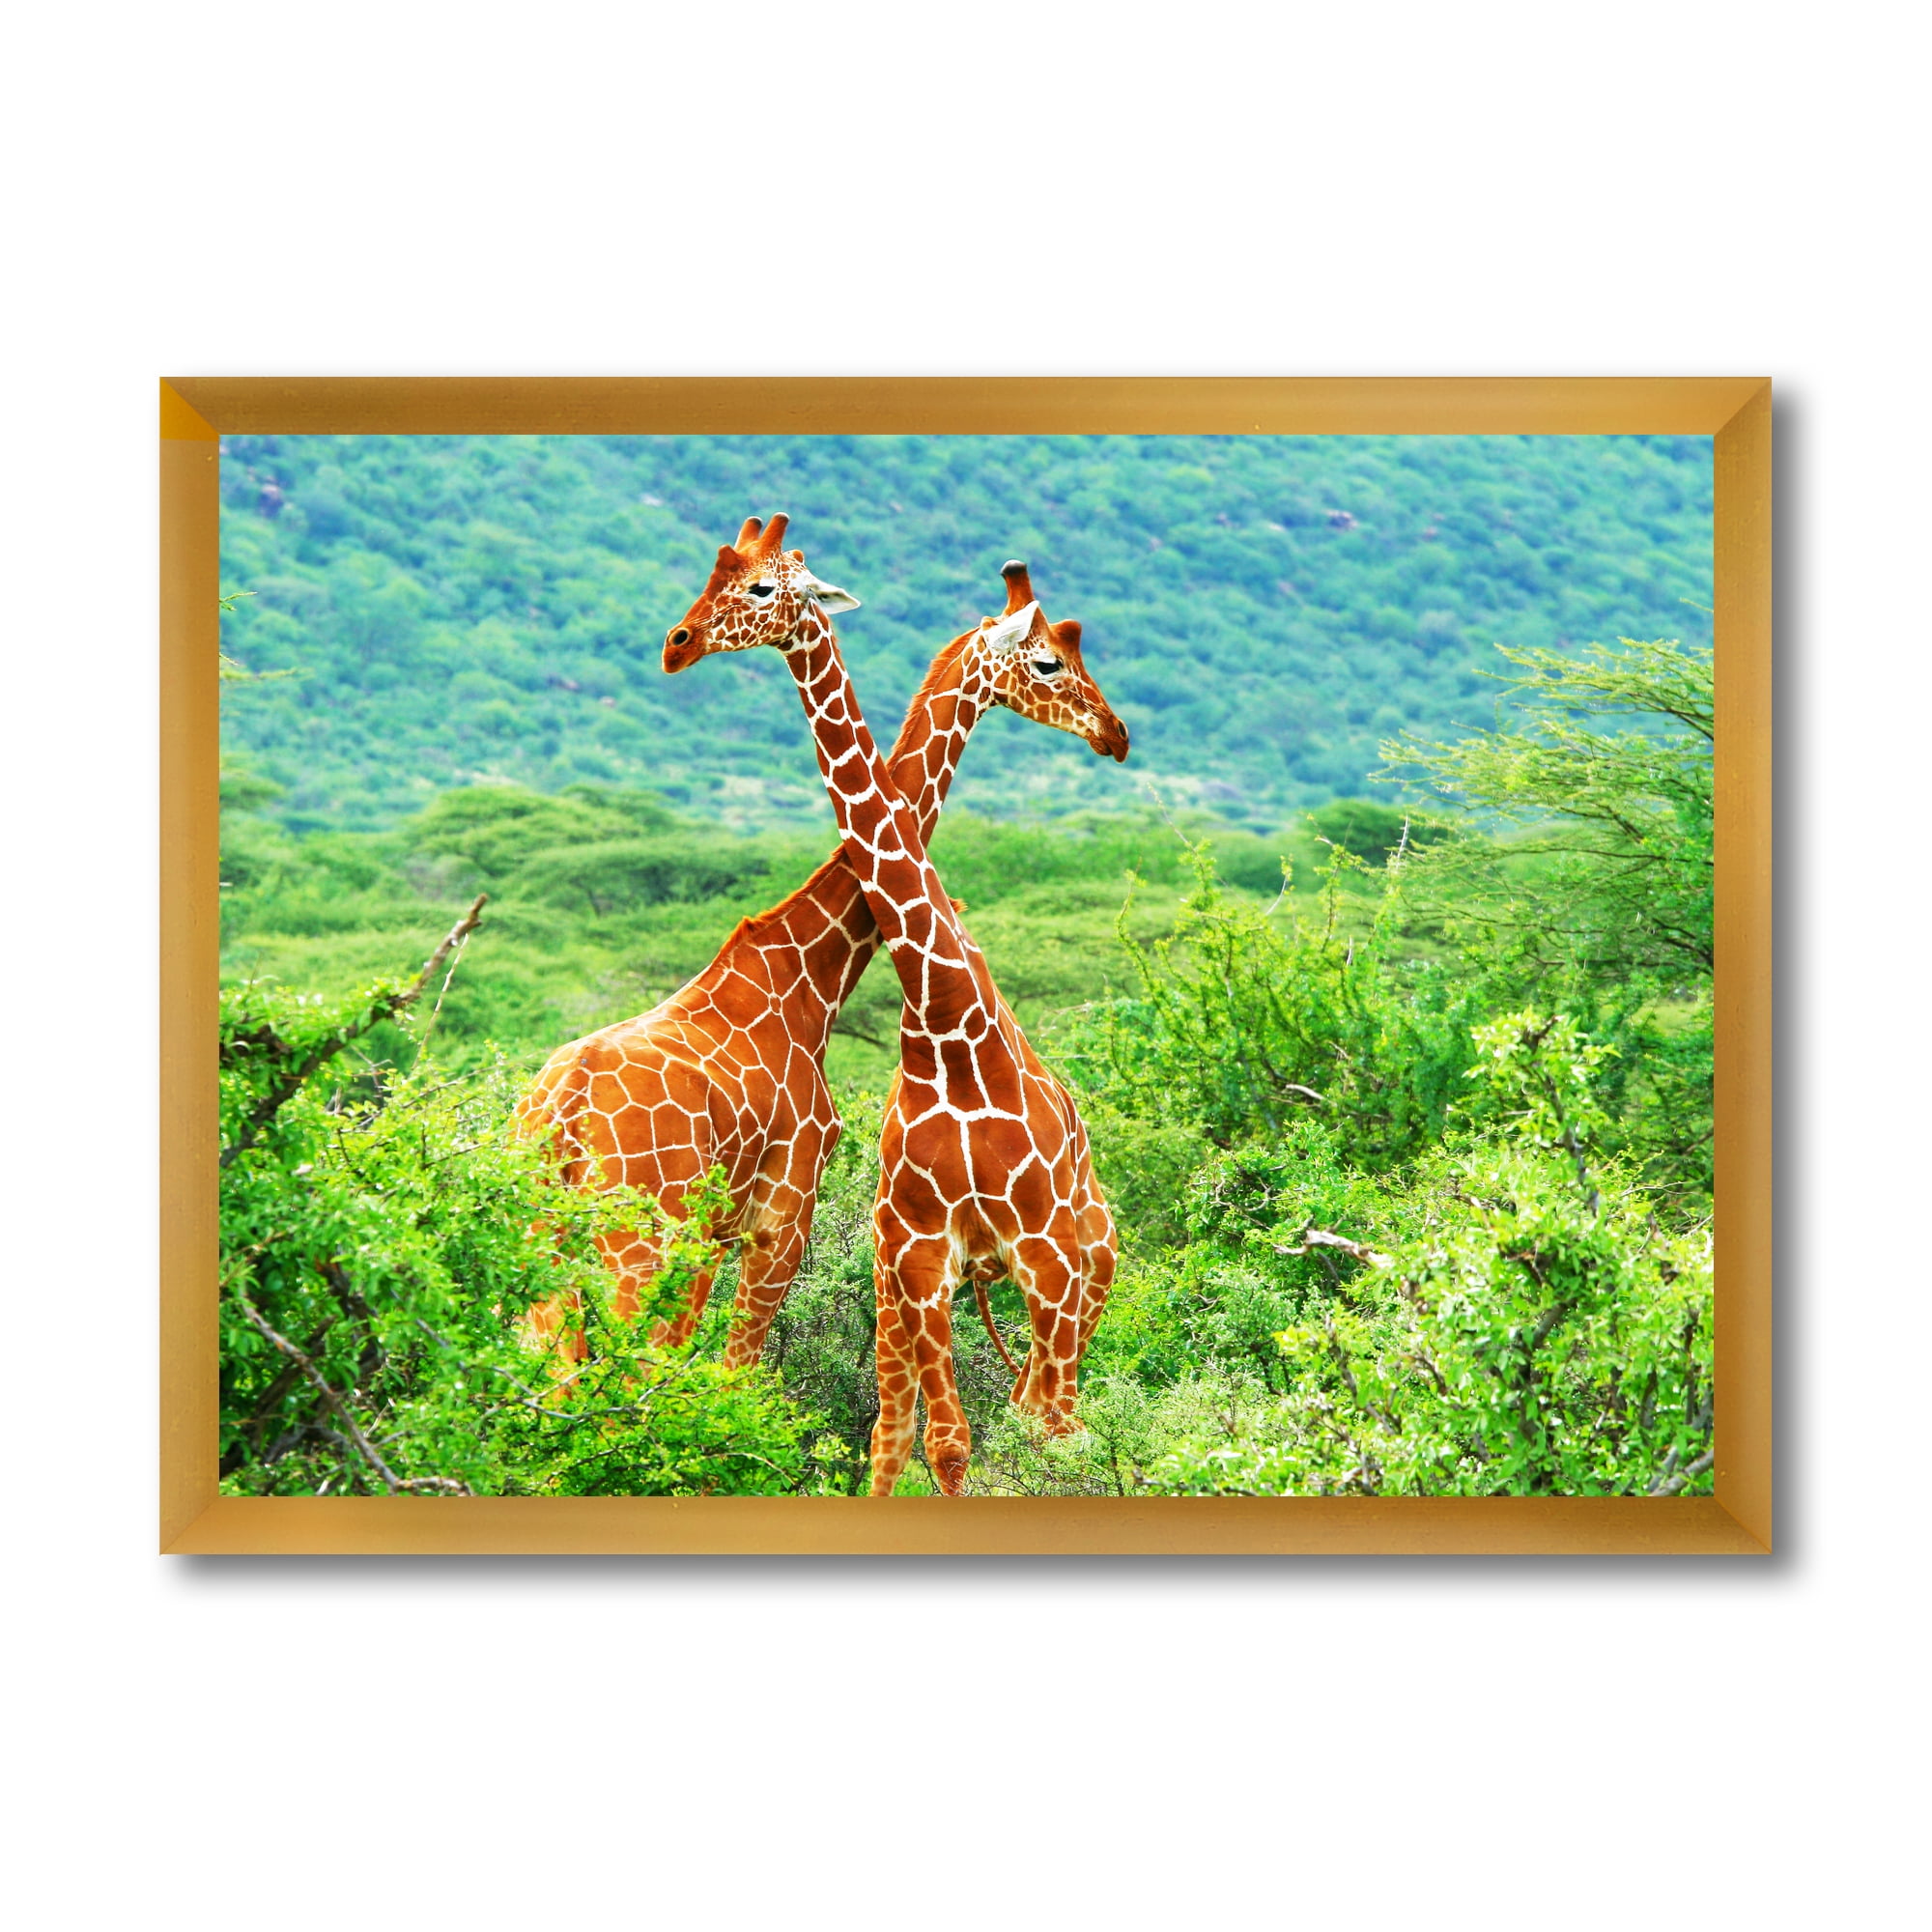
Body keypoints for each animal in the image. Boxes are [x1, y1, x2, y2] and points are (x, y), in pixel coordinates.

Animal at [518, 527, 1127, 1378]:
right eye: (1050, 662)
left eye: (754, 584)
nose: (1114, 732)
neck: (812, 974)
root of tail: (560, 1115)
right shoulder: (782, 1214)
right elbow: (732, 1375)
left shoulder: (724, 1230)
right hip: (634, 1239)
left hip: (545, 1243)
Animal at [664, 514, 1127, 1496]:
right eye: (1050, 661)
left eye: (761, 586)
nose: (1116, 734)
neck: (945, 1024)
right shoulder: (917, 1254)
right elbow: (939, 1441)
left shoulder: (1044, 1256)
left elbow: (1031, 1432)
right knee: (923, 1420)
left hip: (1088, 1266)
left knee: (1055, 1416)